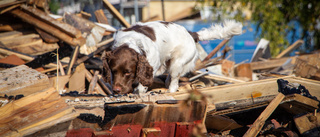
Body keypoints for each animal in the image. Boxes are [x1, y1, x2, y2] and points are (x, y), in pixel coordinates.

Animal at [101, 19, 241, 93]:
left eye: (128, 72)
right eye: (113, 71)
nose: (116, 90)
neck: (130, 42)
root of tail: (191, 33)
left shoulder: (150, 68)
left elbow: (141, 87)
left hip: (177, 63)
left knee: (174, 82)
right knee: (169, 80)